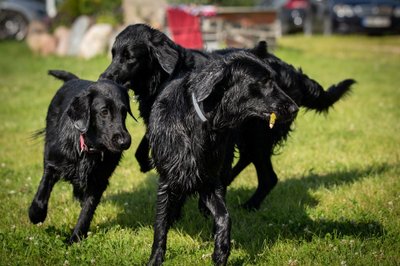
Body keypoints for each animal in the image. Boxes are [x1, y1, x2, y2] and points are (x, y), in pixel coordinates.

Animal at [28, 70, 134, 243]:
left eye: (124, 112)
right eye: (104, 111)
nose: (125, 142)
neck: (88, 149)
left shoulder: (99, 181)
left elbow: (87, 211)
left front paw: (75, 238)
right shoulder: (53, 162)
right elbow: (43, 188)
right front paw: (36, 213)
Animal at [99, 22, 354, 210]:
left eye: (130, 57)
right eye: (113, 54)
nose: (104, 77)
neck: (167, 74)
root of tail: (289, 70)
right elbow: (147, 142)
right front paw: (146, 161)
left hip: (257, 134)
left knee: (268, 176)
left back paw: (248, 204)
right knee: (247, 161)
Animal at [146, 52, 296, 266]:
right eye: (264, 81)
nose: (294, 108)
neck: (202, 124)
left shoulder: (210, 180)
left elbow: (225, 217)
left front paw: (221, 251)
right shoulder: (167, 179)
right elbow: (160, 223)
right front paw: (155, 258)